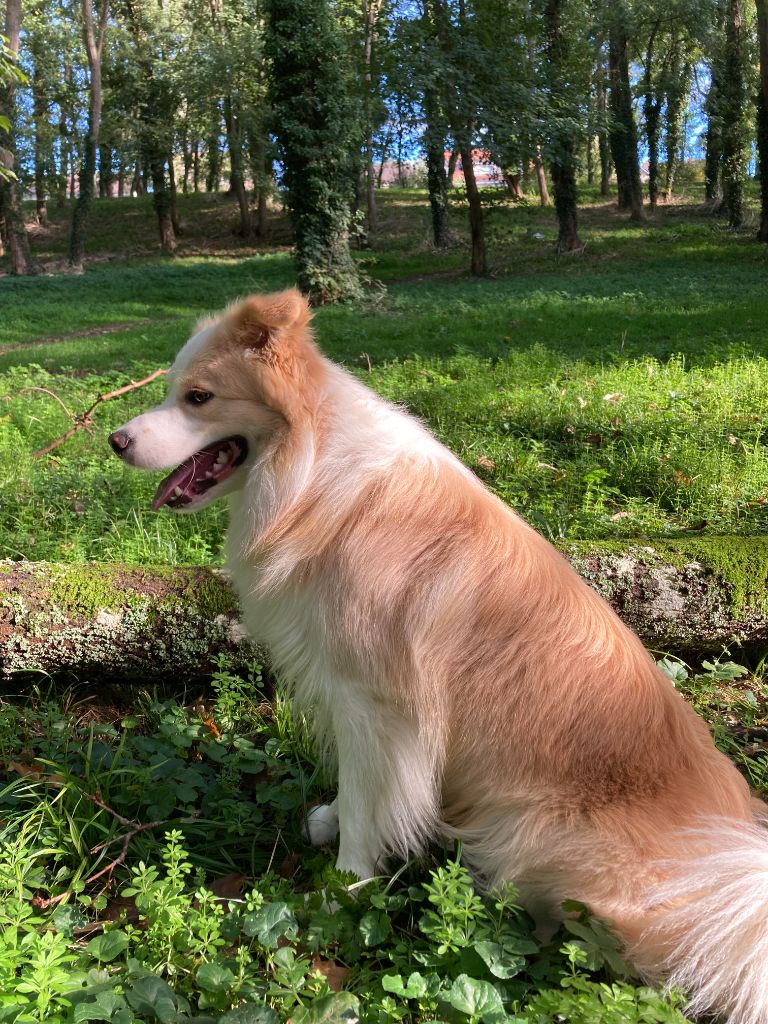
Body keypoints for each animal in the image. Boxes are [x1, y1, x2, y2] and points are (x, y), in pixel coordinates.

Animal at [109, 288, 768, 1024]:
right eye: (172, 389)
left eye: (198, 397)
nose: (115, 441)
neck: (307, 471)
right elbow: (353, 790)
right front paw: (332, 823)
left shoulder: (377, 705)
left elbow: (368, 804)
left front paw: (344, 887)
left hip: (544, 840)